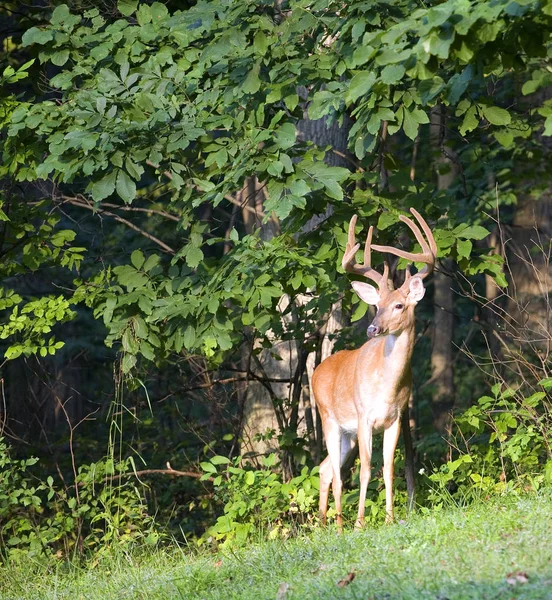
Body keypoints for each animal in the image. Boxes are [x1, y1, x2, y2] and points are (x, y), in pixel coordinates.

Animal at [314, 209, 436, 528]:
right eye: (377, 304)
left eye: (398, 306)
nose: (372, 328)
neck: (387, 385)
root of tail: (317, 370)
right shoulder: (364, 417)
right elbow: (367, 470)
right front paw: (360, 523)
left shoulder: (395, 419)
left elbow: (390, 468)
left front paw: (391, 518)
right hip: (329, 419)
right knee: (336, 474)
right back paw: (340, 526)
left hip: (346, 434)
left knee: (324, 468)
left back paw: (325, 525)